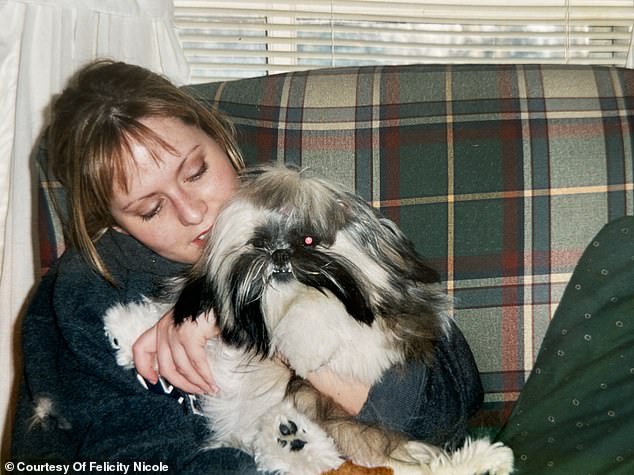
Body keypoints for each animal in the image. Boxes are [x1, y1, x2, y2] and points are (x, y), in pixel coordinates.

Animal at [101, 165, 512, 474]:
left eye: (310, 241)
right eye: (258, 243)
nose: (279, 255)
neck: (274, 312)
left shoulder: (385, 339)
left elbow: (323, 314)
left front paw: (304, 343)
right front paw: (131, 329)